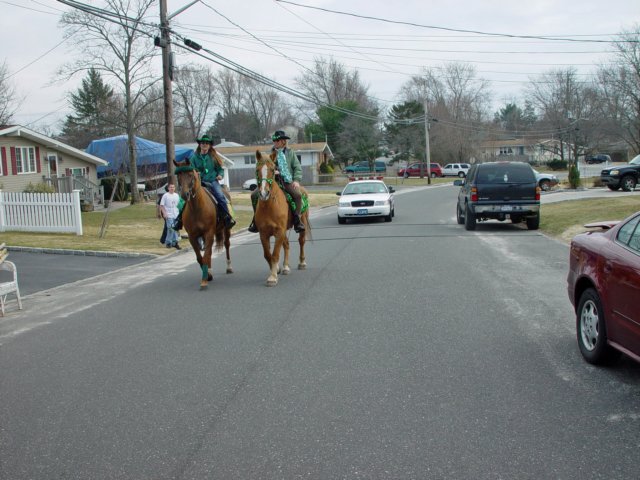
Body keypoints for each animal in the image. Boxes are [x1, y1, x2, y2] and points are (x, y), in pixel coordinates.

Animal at [174, 160, 234, 288]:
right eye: (178, 176)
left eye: (190, 175)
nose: (184, 195)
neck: (196, 208)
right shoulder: (192, 236)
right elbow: (200, 257)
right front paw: (207, 275)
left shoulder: (209, 233)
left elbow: (206, 255)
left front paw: (206, 277)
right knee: (209, 252)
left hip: (226, 230)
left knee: (226, 245)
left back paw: (229, 267)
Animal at [252, 149, 310, 284]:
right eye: (257, 169)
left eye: (273, 169)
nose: (264, 193)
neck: (269, 206)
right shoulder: (264, 233)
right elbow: (267, 254)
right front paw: (276, 270)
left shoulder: (279, 231)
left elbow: (275, 254)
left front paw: (272, 277)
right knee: (287, 245)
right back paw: (286, 267)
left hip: (301, 223)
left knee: (301, 241)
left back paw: (302, 263)